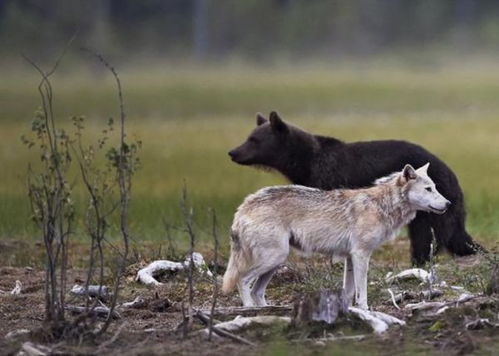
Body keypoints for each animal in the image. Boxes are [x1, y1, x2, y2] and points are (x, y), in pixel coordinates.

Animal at [222, 162, 450, 308]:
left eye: (435, 188)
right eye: (428, 189)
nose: (448, 204)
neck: (382, 206)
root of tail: (243, 207)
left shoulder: (350, 258)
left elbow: (348, 292)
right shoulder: (360, 255)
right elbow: (361, 292)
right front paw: (364, 310)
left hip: (276, 262)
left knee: (257, 291)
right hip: (274, 258)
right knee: (242, 281)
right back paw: (250, 310)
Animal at [229, 112, 480, 266]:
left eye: (254, 140)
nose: (233, 152)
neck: (304, 163)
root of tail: (450, 171)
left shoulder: (329, 176)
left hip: (434, 203)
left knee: (439, 234)